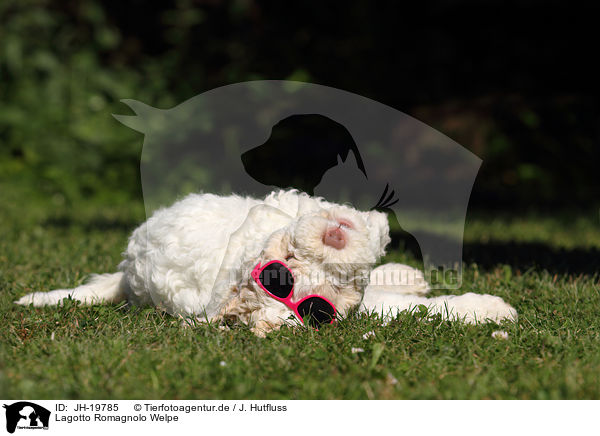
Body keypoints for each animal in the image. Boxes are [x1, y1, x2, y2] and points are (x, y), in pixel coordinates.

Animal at [16, 189, 516, 336]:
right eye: (316, 307)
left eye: (283, 265)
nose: (334, 238)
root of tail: (127, 274)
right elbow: (409, 308)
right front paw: (491, 310)